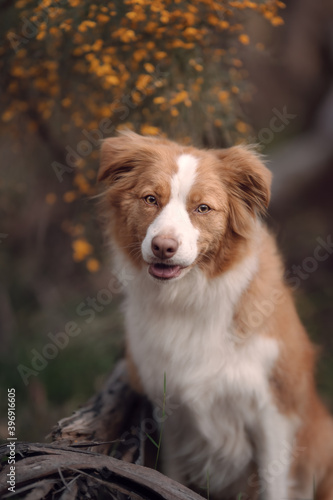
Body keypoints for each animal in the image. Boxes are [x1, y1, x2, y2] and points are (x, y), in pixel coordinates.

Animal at [97, 131, 332, 498]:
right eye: (150, 199)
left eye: (202, 208)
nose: (163, 247)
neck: (189, 299)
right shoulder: (170, 409)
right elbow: (172, 475)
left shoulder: (273, 412)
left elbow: (274, 483)